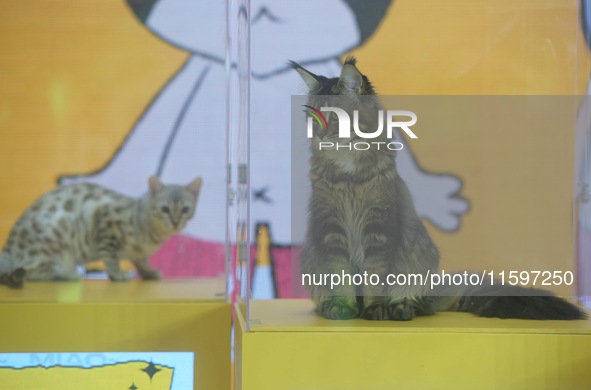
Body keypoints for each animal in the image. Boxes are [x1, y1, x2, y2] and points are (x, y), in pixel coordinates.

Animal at [0, 175, 202, 288]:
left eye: (185, 210)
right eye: (165, 209)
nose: (175, 222)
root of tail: (7, 250)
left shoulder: (138, 252)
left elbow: (142, 262)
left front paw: (150, 273)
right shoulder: (106, 225)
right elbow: (111, 259)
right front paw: (118, 274)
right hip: (52, 243)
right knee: (28, 271)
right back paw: (67, 274)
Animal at [290, 57, 584, 320]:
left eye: (334, 117)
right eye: (313, 117)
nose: (318, 135)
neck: (347, 169)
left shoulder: (379, 227)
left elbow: (375, 277)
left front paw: (374, 310)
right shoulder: (331, 228)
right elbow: (340, 276)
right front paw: (344, 310)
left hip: (418, 255)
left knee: (415, 301)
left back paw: (400, 308)